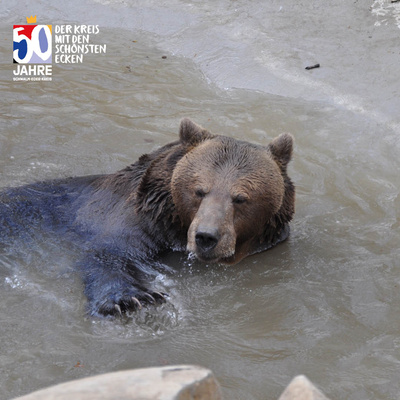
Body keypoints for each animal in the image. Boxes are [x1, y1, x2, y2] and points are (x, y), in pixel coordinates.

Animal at [0, 117, 294, 318]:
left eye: (240, 198)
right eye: (199, 190)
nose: (206, 237)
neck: (175, 224)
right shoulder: (136, 220)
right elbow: (110, 254)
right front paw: (133, 299)